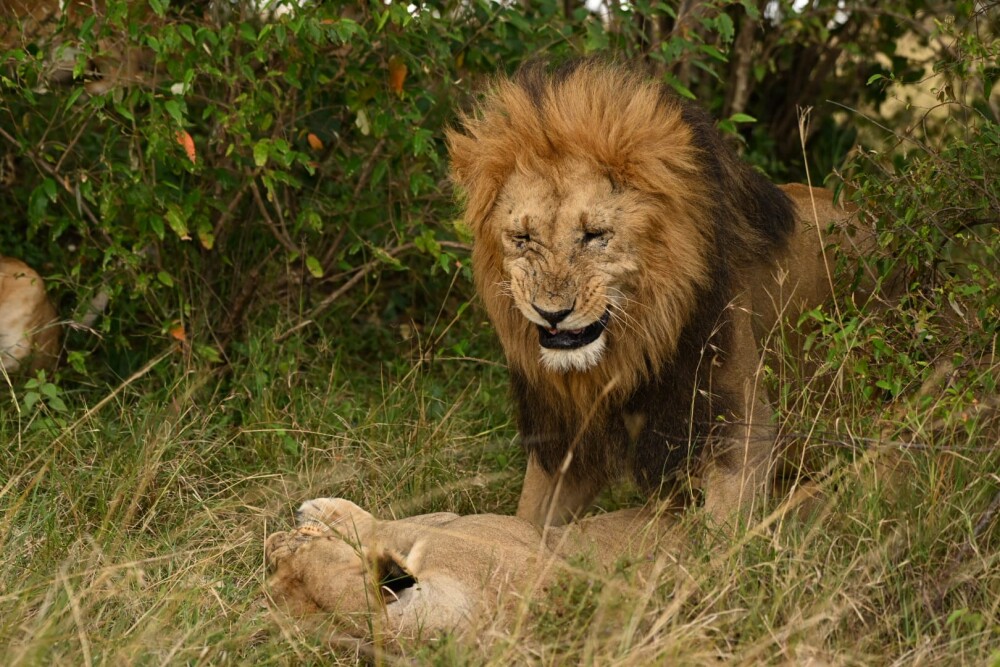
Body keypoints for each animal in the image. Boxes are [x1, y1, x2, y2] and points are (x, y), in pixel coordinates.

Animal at [446, 60, 875, 528]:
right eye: (523, 238)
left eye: (595, 235)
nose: (551, 313)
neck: (635, 346)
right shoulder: (566, 444)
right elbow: (526, 523)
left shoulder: (741, 432)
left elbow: (719, 539)